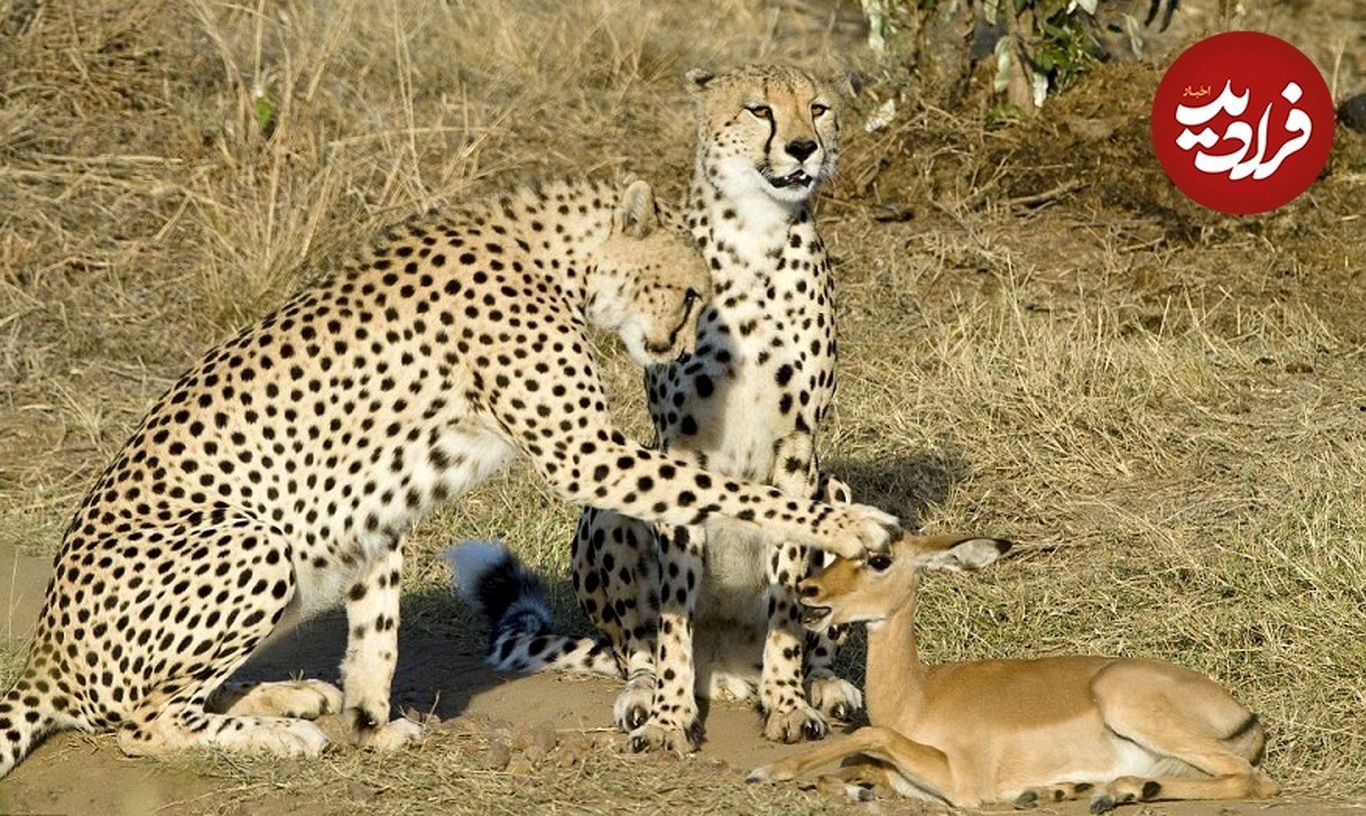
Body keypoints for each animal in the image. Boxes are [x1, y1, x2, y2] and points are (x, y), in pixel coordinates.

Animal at [0, 177, 896, 776]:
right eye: (686, 291)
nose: (676, 348)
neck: (552, 253)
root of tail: (44, 652)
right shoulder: (584, 452)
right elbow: (735, 490)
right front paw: (849, 526)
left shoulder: (374, 511)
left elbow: (376, 636)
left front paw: (371, 723)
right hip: (253, 543)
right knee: (138, 724)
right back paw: (278, 734)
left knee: (167, 700)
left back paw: (288, 698)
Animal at [448, 66, 874, 754]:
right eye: (759, 110)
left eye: (818, 108)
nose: (805, 148)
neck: (756, 237)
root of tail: (725, 671)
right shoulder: (680, 446)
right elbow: (674, 609)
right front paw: (672, 717)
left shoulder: (797, 447)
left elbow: (788, 588)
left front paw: (788, 704)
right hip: (609, 512)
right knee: (635, 647)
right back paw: (644, 695)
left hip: (833, 487)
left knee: (819, 631)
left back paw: (823, 685)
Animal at [748, 535, 1278, 809]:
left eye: (879, 559)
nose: (808, 590)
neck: (919, 698)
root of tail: (1247, 717)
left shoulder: (962, 782)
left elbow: (868, 736)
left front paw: (767, 770)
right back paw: (1082, 789)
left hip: (1128, 702)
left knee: (1254, 780)